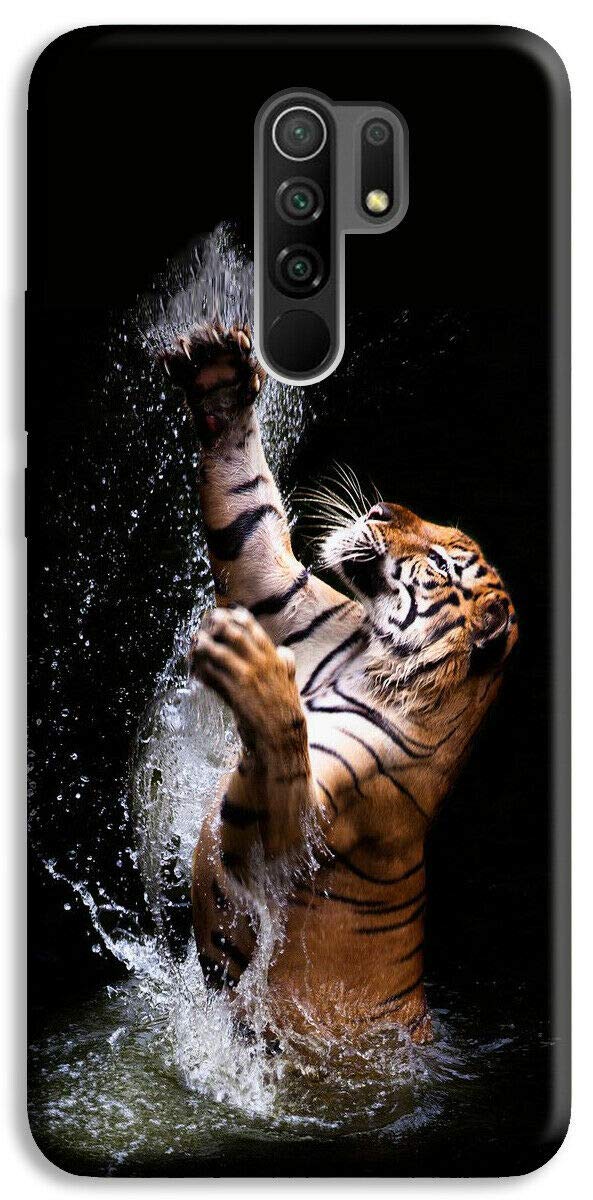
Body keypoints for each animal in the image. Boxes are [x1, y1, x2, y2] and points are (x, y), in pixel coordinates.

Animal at [161, 322, 518, 1044]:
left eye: (440, 561)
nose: (379, 506)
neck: (369, 656)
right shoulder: (287, 596)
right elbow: (249, 515)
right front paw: (219, 375)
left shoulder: (299, 840)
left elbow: (281, 756)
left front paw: (252, 670)